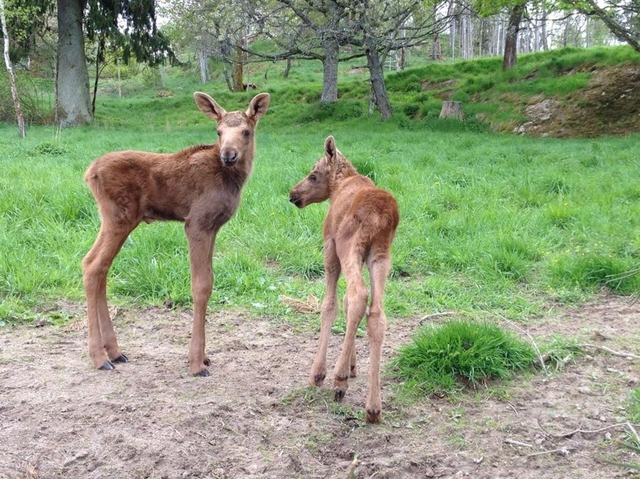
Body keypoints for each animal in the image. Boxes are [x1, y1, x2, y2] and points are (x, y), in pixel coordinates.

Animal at [82, 92, 270, 376]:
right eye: (218, 131)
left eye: (246, 131)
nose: (228, 155)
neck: (233, 181)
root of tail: (89, 172)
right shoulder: (196, 223)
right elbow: (201, 286)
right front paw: (196, 363)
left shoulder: (213, 227)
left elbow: (210, 280)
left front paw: (205, 356)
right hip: (119, 218)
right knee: (94, 266)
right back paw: (99, 357)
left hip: (116, 219)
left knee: (97, 265)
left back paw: (114, 351)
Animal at [290, 136, 400, 424]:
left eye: (313, 175)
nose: (293, 194)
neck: (340, 184)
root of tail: (382, 214)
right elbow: (348, 305)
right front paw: (352, 365)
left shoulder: (329, 246)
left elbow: (330, 304)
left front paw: (320, 373)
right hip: (380, 255)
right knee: (376, 311)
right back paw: (373, 406)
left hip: (349, 245)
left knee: (358, 294)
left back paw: (338, 379)